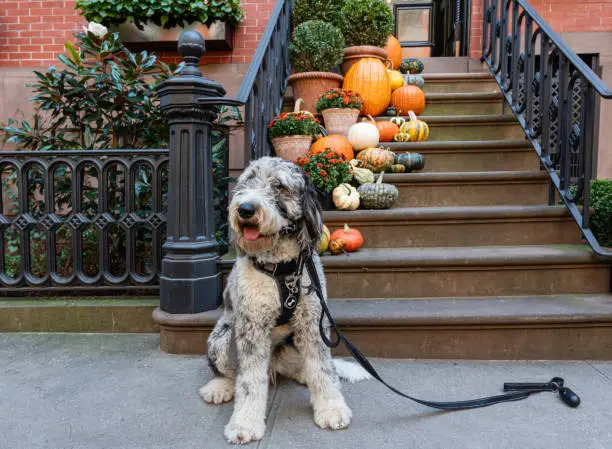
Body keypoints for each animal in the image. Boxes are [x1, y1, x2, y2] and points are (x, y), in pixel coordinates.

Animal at [202, 157, 368, 440]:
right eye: (247, 181)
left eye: (279, 186)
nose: (245, 209)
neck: (281, 266)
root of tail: (273, 365)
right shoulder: (251, 327)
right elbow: (249, 383)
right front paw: (245, 424)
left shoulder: (313, 323)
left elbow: (323, 368)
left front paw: (331, 409)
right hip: (222, 337)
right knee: (230, 372)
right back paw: (219, 387)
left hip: (293, 343)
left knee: (307, 367)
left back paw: (304, 375)